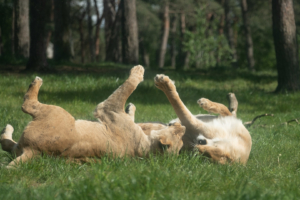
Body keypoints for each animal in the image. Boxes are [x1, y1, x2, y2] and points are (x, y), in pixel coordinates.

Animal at [0, 66, 185, 169]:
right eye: (180, 137)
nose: (182, 125)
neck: (146, 146)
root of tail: (34, 151)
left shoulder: (109, 108)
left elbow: (128, 86)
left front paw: (138, 70)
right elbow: (129, 107)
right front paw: (131, 107)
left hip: (57, 112)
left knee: (27, 105)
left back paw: (36, 82)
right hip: (20, 147)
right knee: (6, 143)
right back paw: (7, 129)